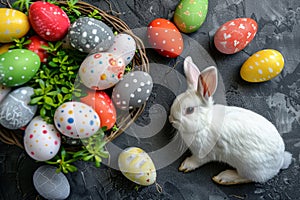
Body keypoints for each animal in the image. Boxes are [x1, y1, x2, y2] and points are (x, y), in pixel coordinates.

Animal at [170, 55, 292, 184]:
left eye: (190, 110)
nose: (171, 120)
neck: (205, 123)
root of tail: (280, 162)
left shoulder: (203, 153)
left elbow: (196, 161)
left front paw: (185, 165)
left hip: (248, 168)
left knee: (247, 178)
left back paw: (224, 177)